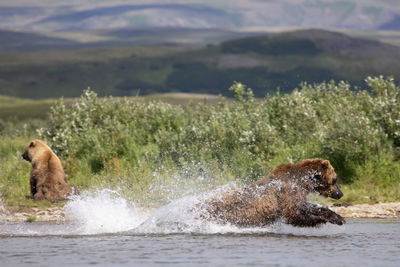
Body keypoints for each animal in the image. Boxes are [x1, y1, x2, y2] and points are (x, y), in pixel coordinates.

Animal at [202, 159, 346, 228]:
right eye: (335, 179)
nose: (340, 194)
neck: (303, 181)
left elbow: (305, 207)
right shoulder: (289, 190)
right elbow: (295, 211)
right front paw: (336, 218)